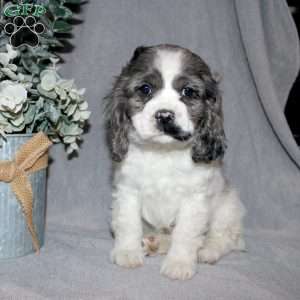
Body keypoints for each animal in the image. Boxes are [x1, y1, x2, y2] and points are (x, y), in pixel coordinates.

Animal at [104, 44, 245, 282]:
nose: (164, 115)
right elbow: (128, 222)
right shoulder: (128, 191)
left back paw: (207, 251)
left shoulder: (194, 199)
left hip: (228, 206)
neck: (164, 152)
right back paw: (153, 243)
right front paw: (128, 252)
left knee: (225, 237)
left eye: (188, 92)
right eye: (145, 89)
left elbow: (185, 233)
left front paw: (178, 263)